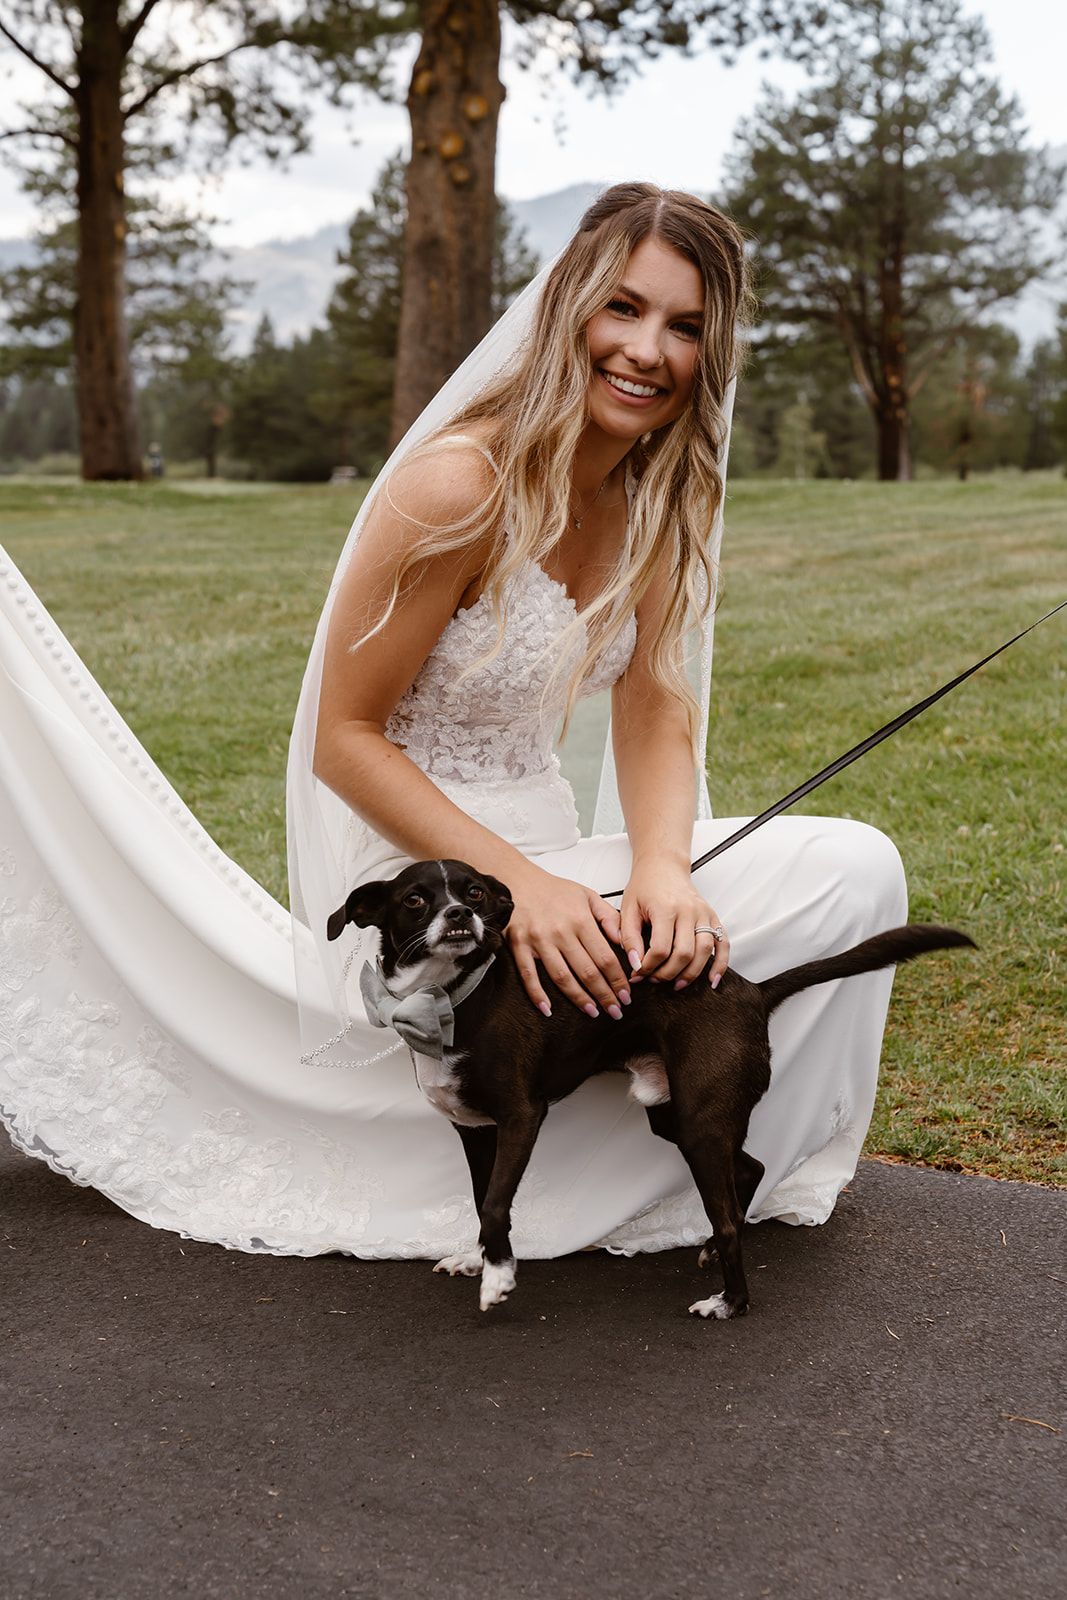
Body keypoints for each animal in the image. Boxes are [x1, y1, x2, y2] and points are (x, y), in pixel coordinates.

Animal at [329, 857, 972, 1318]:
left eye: (476, 893)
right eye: (416, 899)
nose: (461, 915)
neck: (452, 996)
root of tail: (752, 990)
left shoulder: (521, 1117)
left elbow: (493, 1203)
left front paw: (500, 1279)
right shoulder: (475, 1131)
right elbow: (482, 1198)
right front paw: (478, 1260)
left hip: (699, 1122)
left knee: (732, 1212)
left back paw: (731, 1302)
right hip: (677, 1116)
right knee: (752, 1168)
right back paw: (710, 1248)